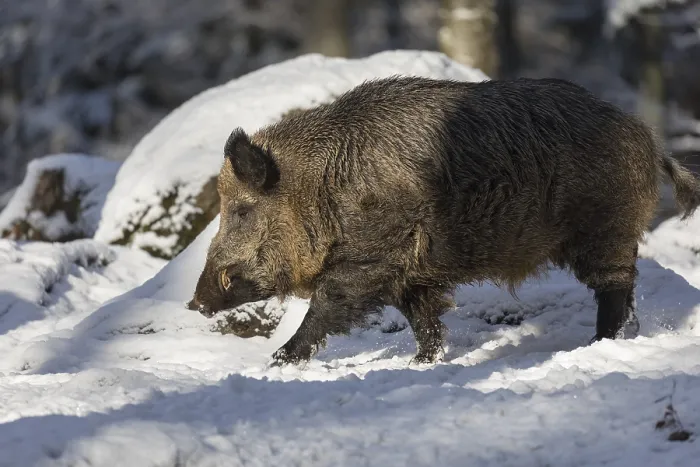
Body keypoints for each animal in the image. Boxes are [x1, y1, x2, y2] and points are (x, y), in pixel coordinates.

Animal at [187, 76, 700, 366]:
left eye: (241, 210)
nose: (194, 302)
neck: (320, 192)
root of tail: (646, 136)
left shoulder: (371, 258)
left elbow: (328, 304)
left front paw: (277, 360)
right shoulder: (411, 274)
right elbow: (424, 319)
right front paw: (424, 363)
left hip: (603, 228)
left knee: (615, 286)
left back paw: (598, 343)